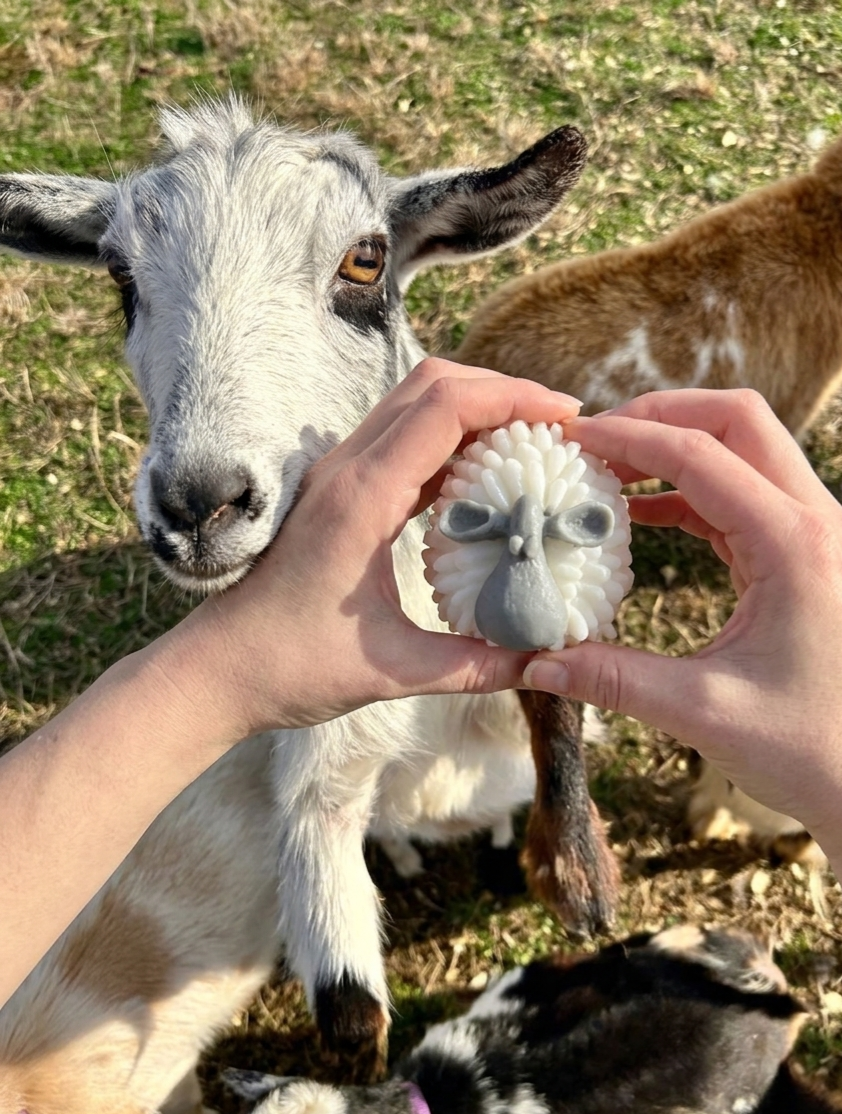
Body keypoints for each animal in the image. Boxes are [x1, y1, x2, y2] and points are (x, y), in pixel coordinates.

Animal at [0, 98, 610, 1114]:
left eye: (365, 259)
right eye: (121, 275)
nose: (198, 506)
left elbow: (552, 680)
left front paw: (576, 873)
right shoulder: (315, 752)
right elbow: (346, 989)